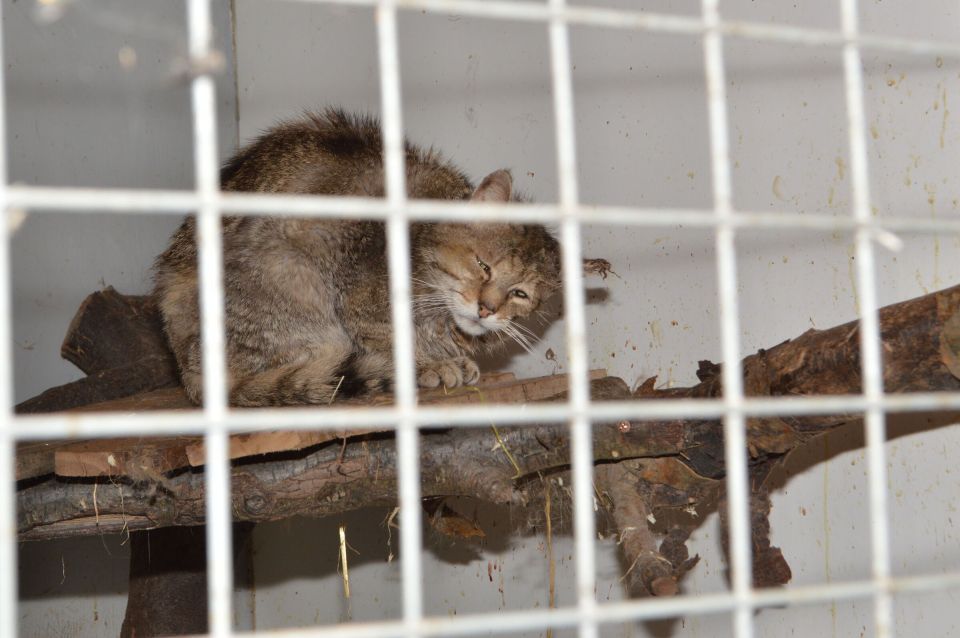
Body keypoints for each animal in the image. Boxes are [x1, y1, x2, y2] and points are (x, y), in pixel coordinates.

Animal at [156, 110, 564, 408]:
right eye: (483, 266)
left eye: (520, 294)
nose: (487, 309)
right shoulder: (358, 300)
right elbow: (391, 338)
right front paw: (429, 364)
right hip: (290, 273)